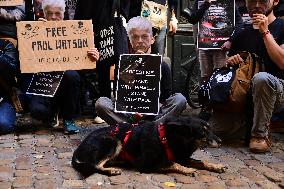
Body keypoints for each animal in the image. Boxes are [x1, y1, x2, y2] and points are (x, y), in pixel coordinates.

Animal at [72, 116, 227, 176]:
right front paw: (187, 170)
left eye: (210, 128)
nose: (220, 141)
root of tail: (77, 151)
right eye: (202, 132)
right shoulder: (146, 163)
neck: (166, 138)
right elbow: (172, 163)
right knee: (95, 165)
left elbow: (201, 161)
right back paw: (111, 170)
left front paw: (217, 166)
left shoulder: (183, 157)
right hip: (113, 141)